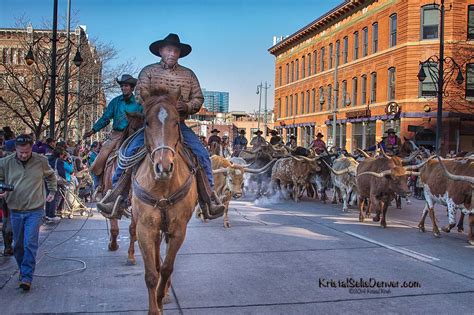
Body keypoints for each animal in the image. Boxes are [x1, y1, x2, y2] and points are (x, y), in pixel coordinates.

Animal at [99, 112, 143, 258]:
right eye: (133, 128)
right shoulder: (110, 194)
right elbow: (113, 228)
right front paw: (113, 245)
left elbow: (133, 229)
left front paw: (131, 256)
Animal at [131, 88, 197, 314]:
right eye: (146, 122)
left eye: (176, 122)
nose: (164, 167)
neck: (161, 187)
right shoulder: (145, 228)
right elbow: (151, 274)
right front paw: (154, 309)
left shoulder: (178, 230)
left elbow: (167, 268)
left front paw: (161, 298)